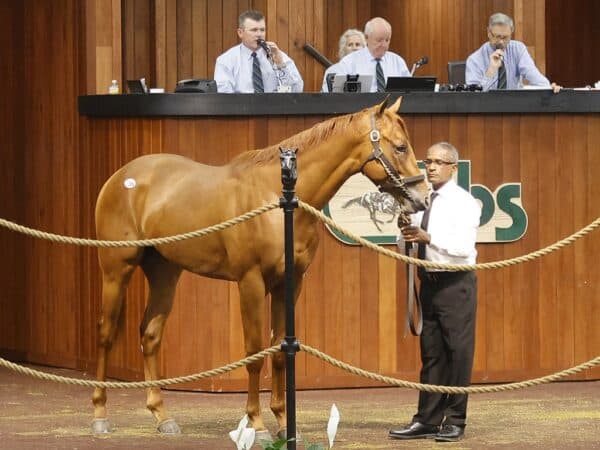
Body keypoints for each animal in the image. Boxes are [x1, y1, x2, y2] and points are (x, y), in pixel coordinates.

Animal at [91, 96, 428, 438]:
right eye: (401, 147)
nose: (422, 198)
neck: (278, 200)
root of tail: (121, 177)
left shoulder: (289, 283)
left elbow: (278, 351)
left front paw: (283, 423)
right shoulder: (250, 281)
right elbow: (254, 354)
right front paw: (256, 422)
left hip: (165, 272)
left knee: (151, 335)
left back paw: (162, 416)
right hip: (116, 269)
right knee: (105, 333)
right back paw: (100, 414)